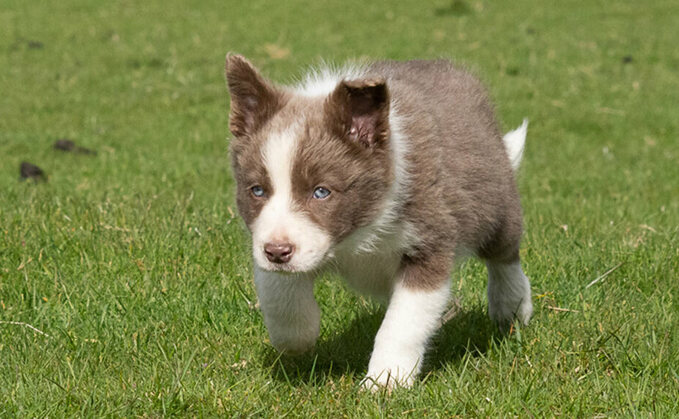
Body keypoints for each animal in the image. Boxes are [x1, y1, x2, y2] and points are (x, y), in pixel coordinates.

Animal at [226, 55, 532, 390]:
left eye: (321, 192)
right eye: (257, 190)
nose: (277, 252)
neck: (356, 233)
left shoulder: (429, 241)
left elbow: (402, 322)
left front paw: (387, 380)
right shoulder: (272, 241)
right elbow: (280, 294)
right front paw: (298, 336)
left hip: (496, 204)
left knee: (504, 256)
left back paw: (512, 306)